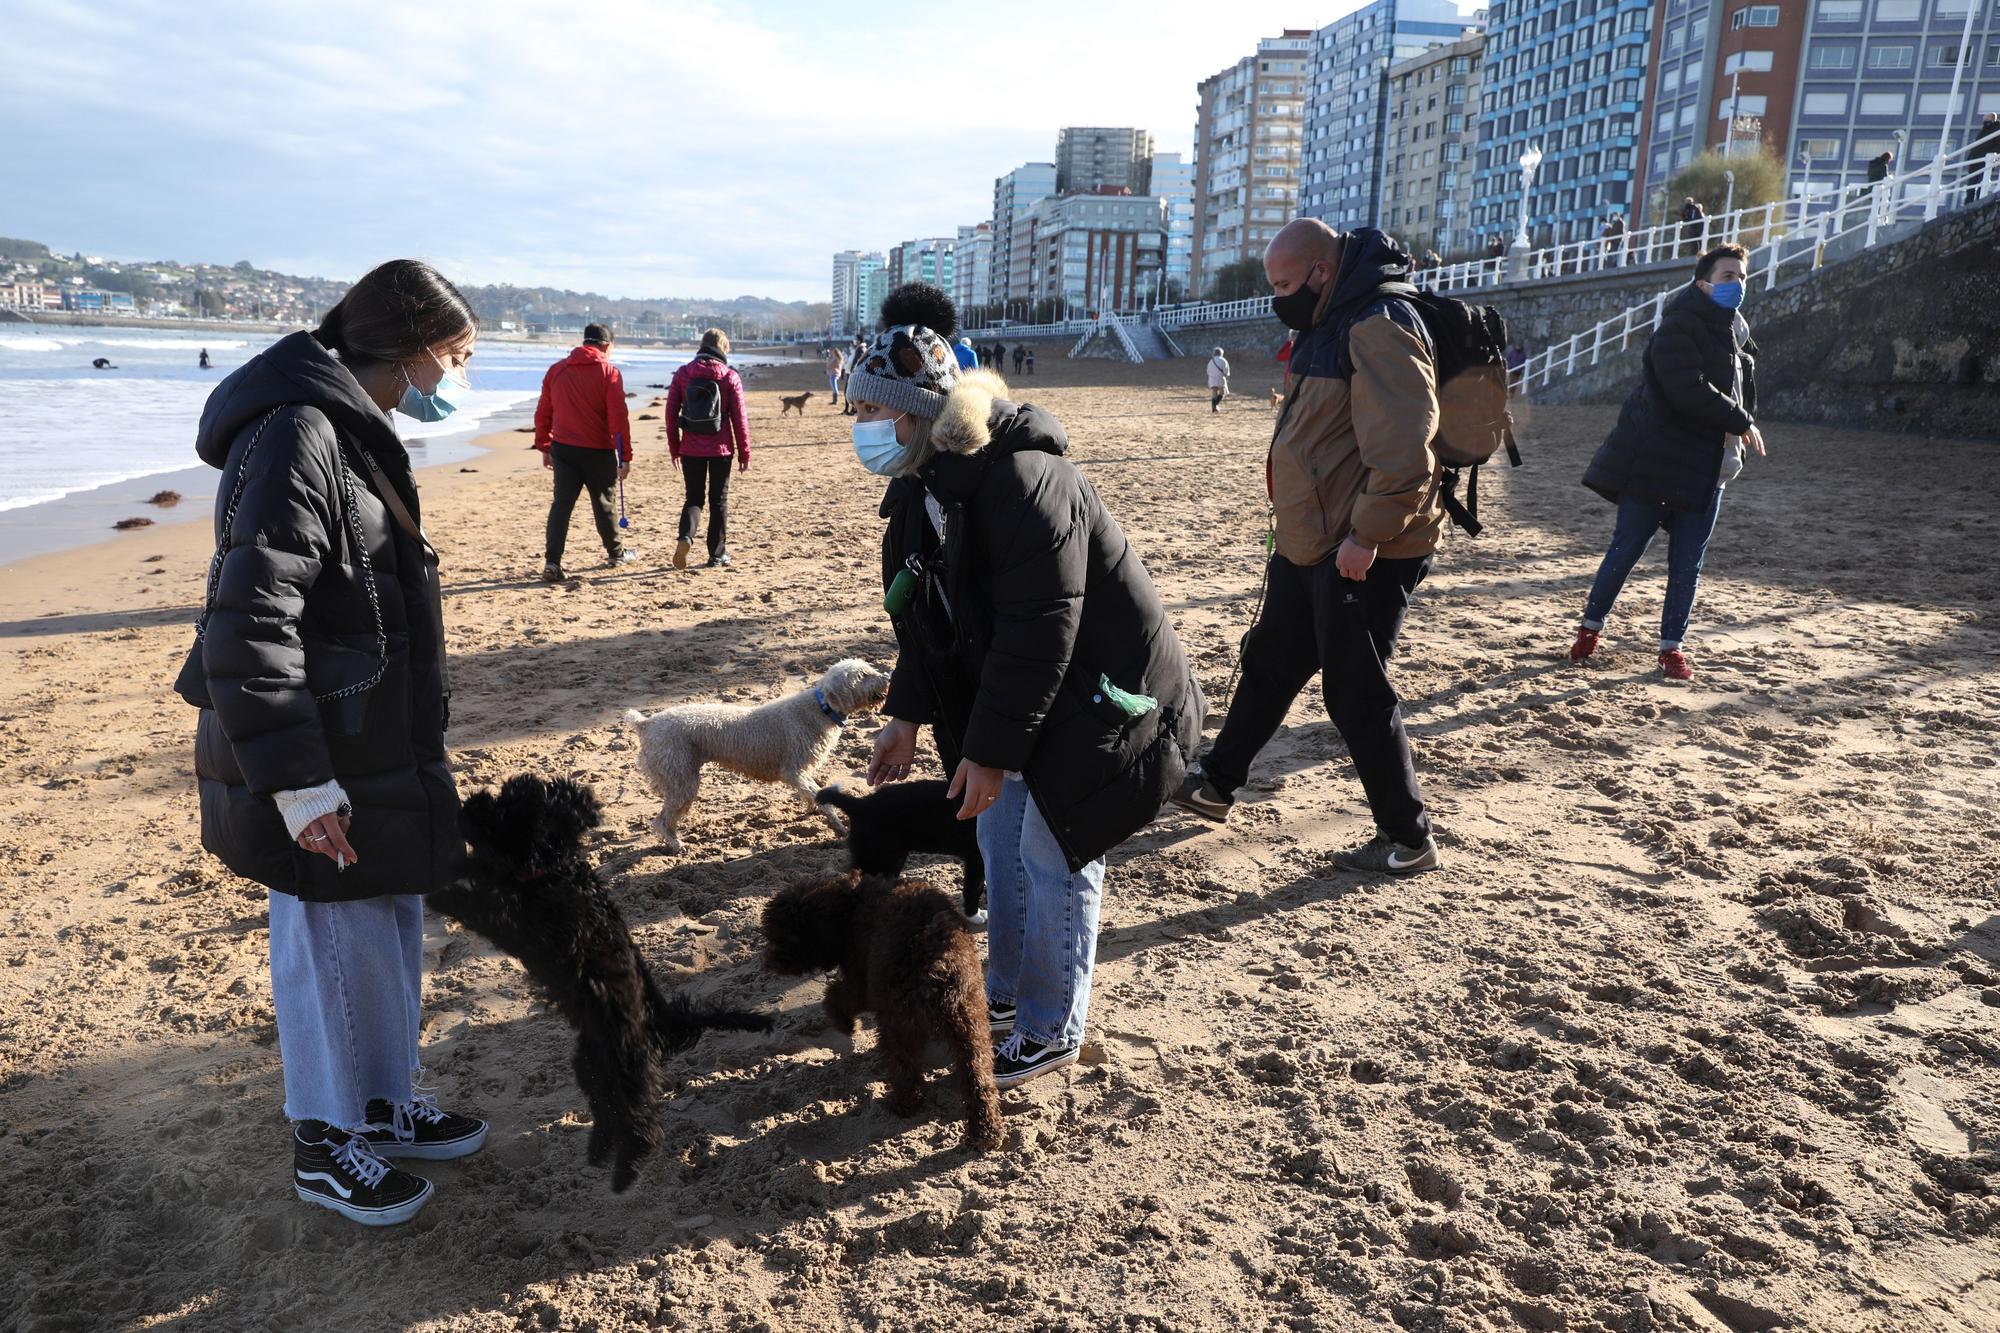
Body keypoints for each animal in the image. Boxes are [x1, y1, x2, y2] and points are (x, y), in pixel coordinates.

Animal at [430, 772, 772, 1184]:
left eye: (504, 809)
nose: (468, 804)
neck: (554, 871)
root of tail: (665, 1019)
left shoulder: (529, 928)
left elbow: (487, 907)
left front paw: (443, 897)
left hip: (624, 1065)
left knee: (639, 1121)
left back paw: (626, 1171)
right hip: (592, 1061)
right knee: (607, 1108)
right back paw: (599, 1152)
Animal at [624, 656, 892, 852]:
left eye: (869, 668)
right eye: (862, 676)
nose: (887, 677)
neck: (821, 708)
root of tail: (645, 723)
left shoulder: (799, 774)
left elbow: (811, 795)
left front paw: (811, 810)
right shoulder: (793, 770)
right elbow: (821, 798)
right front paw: (839, 827)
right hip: (681, 779)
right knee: (661, 821)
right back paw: (676, 843)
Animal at [768, 868, 1016, 1144]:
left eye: (786, 936)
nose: (769, 963)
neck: (849, 905)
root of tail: (935, 965)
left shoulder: (861, 980)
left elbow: (835, 996)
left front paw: (847, 1024)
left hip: (898, 1025)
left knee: (904, 1069)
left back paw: (902, 1104)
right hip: (970, 1026)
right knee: (978, 1079)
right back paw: (986, 1132)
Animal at [816, 772, 988, 920]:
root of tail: (859, 804)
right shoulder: (976, 860)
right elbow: (973, 888)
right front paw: (973, 916)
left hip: (892, 859)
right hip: (874, 858)